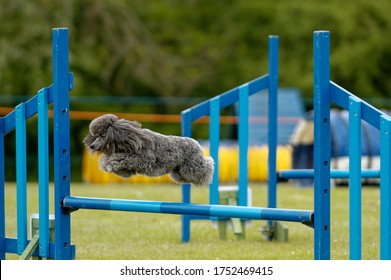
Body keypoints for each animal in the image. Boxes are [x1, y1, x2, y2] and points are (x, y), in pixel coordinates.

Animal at [82, 114, 214, 186]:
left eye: (103, 135)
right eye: (95, 135)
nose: (92, 146)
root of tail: (196, 143)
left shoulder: (145, 160)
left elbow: (124, 158)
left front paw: (112, 162)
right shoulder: (128, 170)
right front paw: (107, 164)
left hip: (191, 168)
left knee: (206, 166)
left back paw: (208, 174)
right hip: (178, 173)